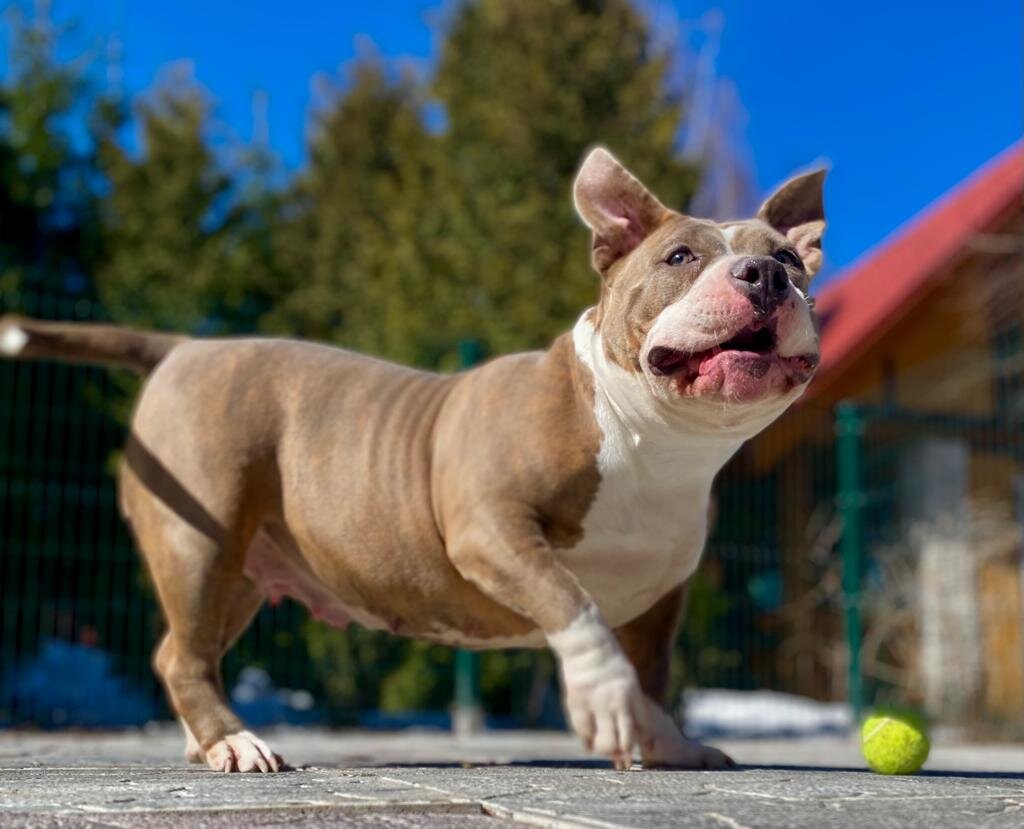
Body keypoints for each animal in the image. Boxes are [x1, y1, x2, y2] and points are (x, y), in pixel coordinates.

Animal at [0, 147, 824, 772]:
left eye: (789, 258)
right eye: (680, 256)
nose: (765, 276)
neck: (658, 444)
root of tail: (184, 348)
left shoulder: (660, 596)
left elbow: (653, 674)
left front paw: (667, 743)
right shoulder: (491, 529)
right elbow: (575, 605)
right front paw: (605, 703)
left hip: (240, 570)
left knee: (184, 647)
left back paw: (206, 740)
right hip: (197, 542)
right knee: (182, 656)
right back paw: (233, 743)